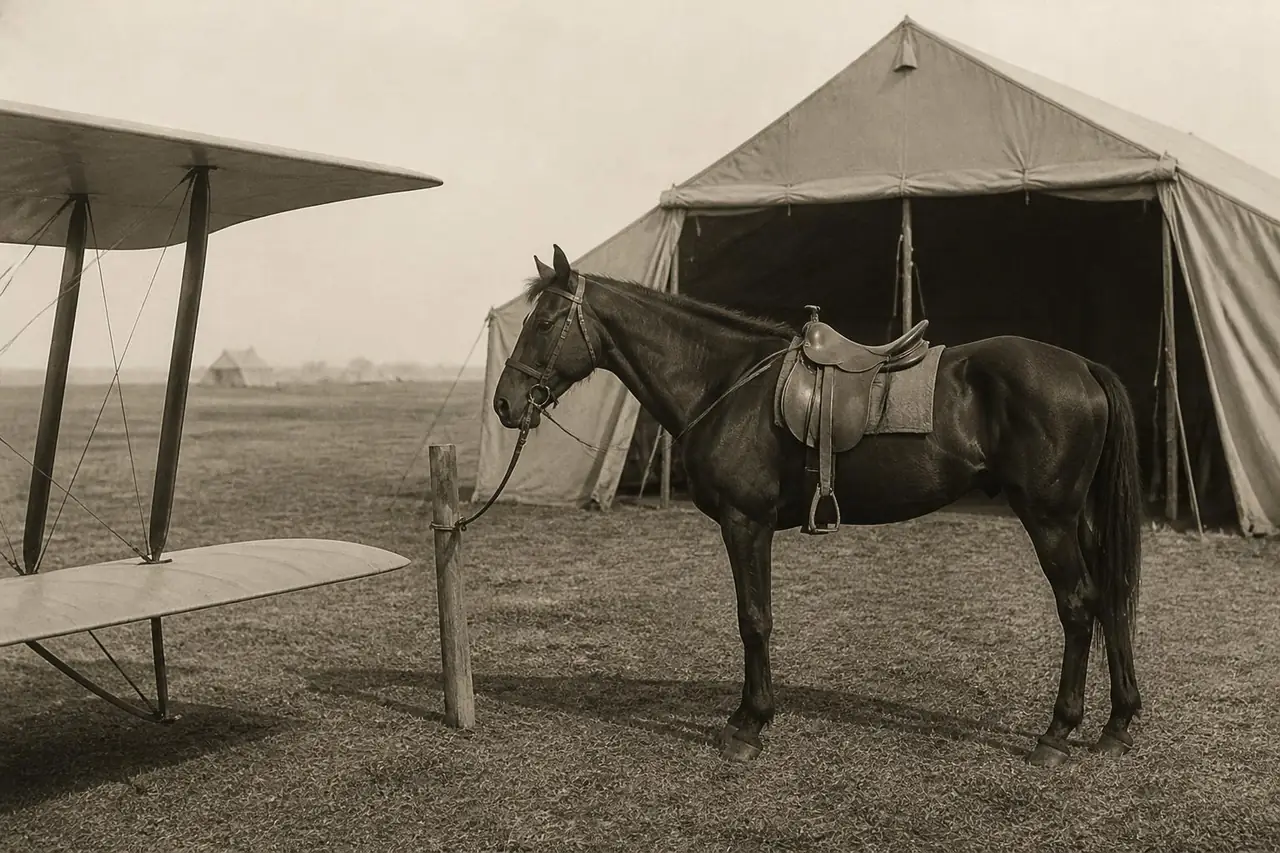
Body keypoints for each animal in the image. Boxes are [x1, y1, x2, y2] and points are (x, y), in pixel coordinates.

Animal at [492, 244, 1143, 766]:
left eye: (545, 321)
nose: (505, 403)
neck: (725, 382)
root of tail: (1083, 366)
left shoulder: (745, 523)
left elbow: (754, 619)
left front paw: (749, 725)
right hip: (1082, 520)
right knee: (1111, 601)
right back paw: (1117, 725)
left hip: (1049, 519)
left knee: (1078, 607)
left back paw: (1057, 734)